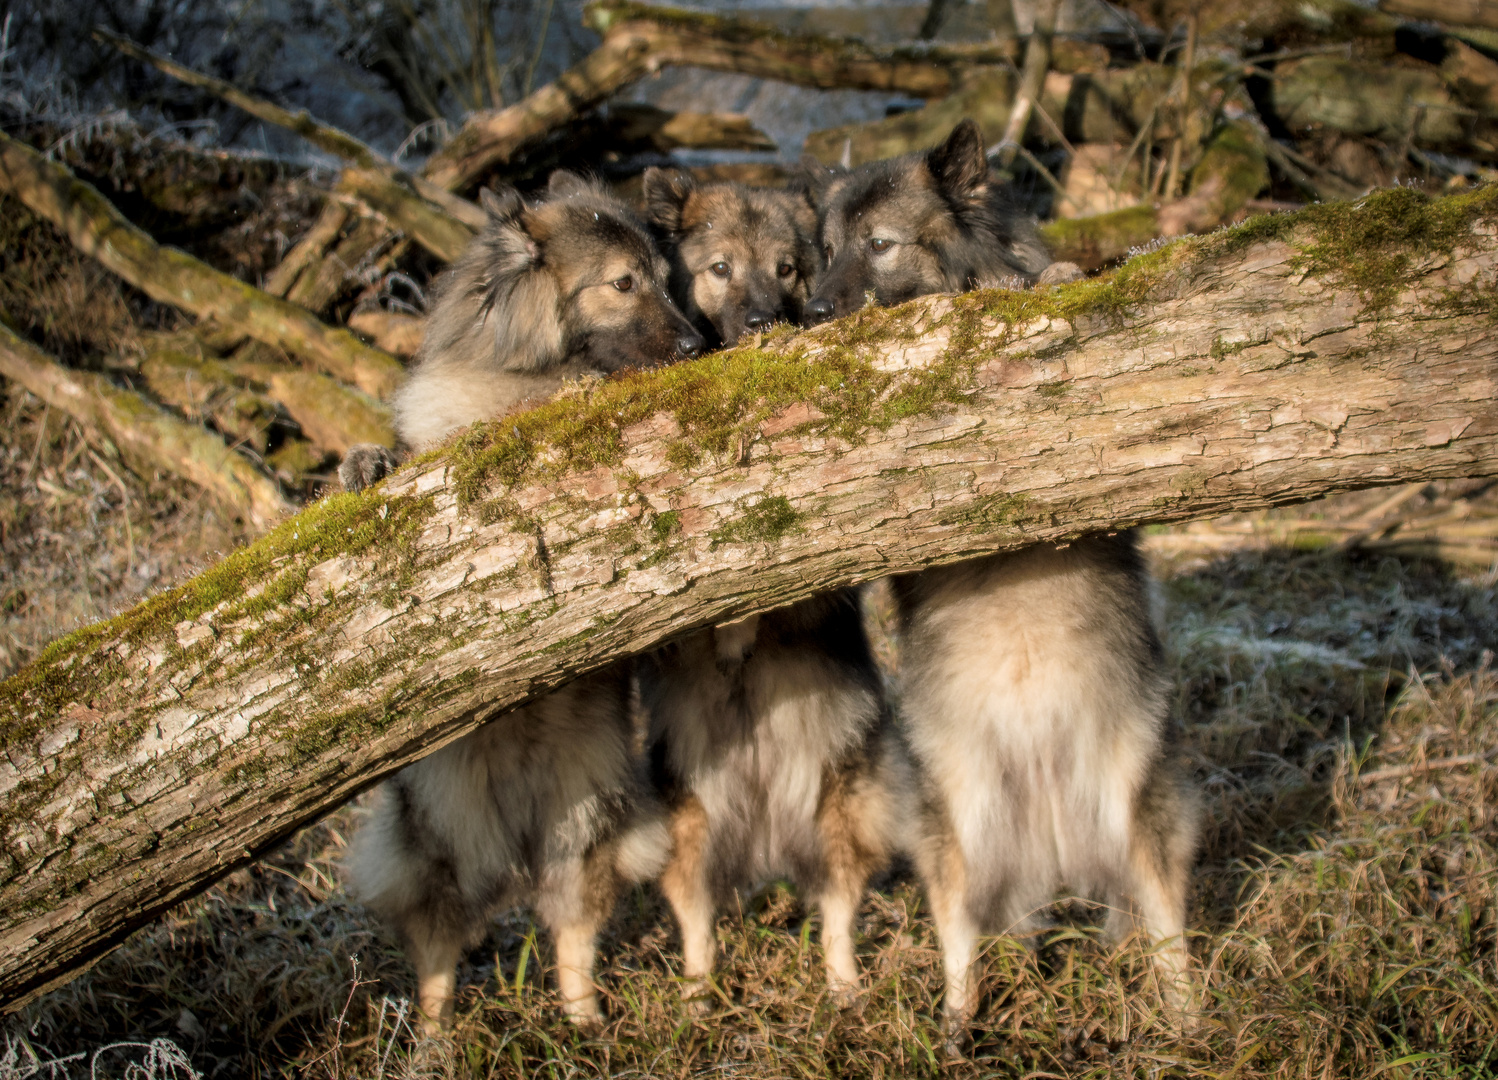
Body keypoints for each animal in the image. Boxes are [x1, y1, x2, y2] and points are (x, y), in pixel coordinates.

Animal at [343, 170, 704, 1030]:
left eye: (667, 280)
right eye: (623, 283)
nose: (694, 345)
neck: (513, 390)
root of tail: (513, 843)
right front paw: (366, 462)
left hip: (582, 835)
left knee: (572, 940)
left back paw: (583, 1025)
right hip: (437, 852)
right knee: (437, 966)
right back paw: (434, 1042)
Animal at [802, 118, 1198, 1030]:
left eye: (879, 246)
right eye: (824, 251)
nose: (811, 311)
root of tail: (1048, 809)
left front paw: (1055, 276)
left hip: (1136, 812)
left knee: (1170, 938)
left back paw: (1193, 1022)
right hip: (957, 826)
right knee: (960, 941)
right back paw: (956, 1025)